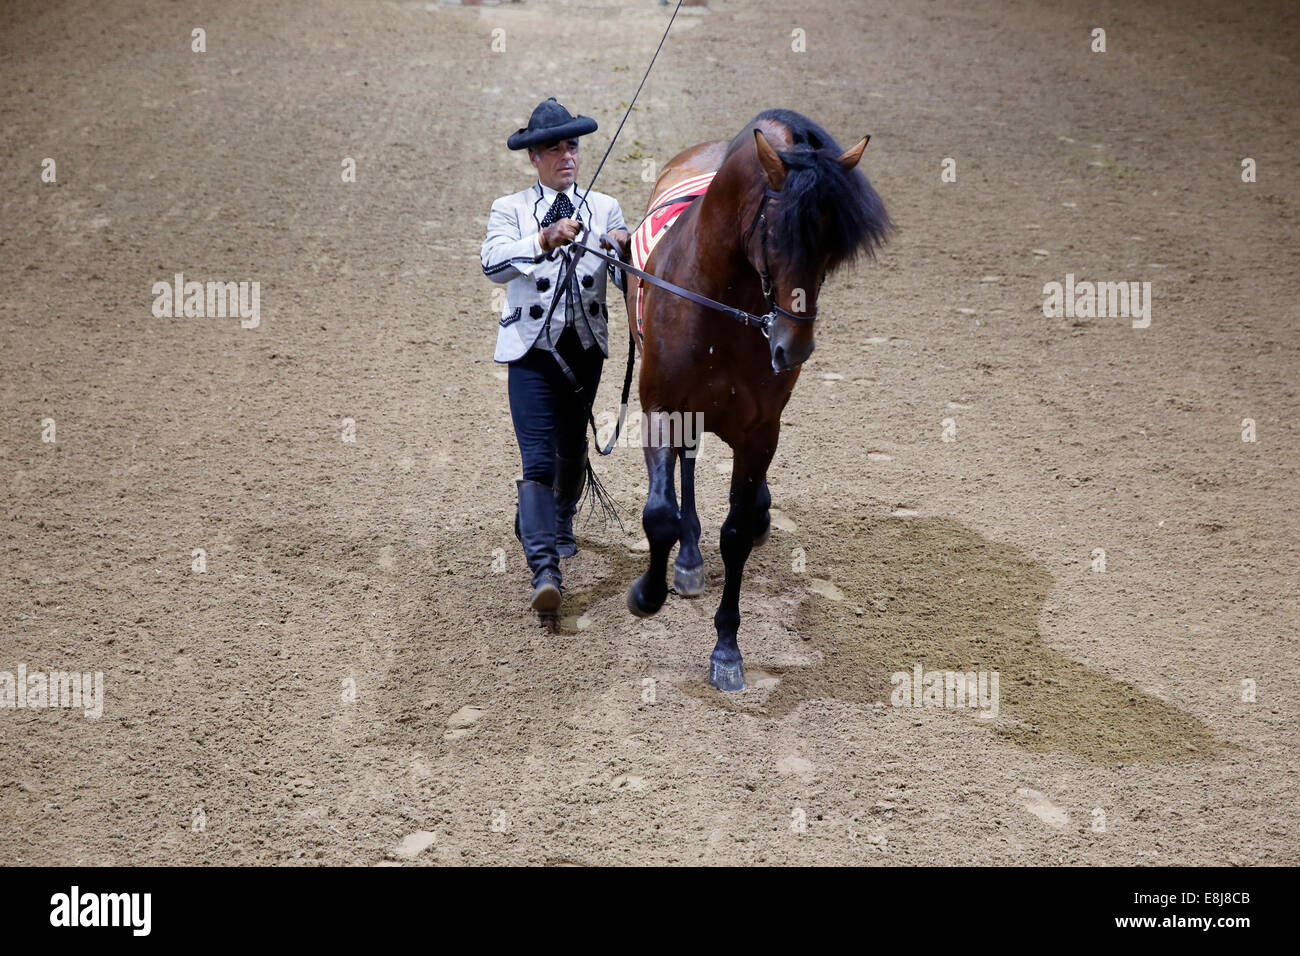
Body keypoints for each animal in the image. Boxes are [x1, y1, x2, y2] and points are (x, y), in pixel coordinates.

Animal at [621, 108, 889, 691]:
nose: (794, 347)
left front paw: (726, 650)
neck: (720, 305)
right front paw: (647, 594)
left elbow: (738, 532)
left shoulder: (759, 432)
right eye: (778, 235)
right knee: (685, 471)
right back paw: (687, 559)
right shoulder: (661, 411)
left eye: (833, 248)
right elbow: (660, 514)